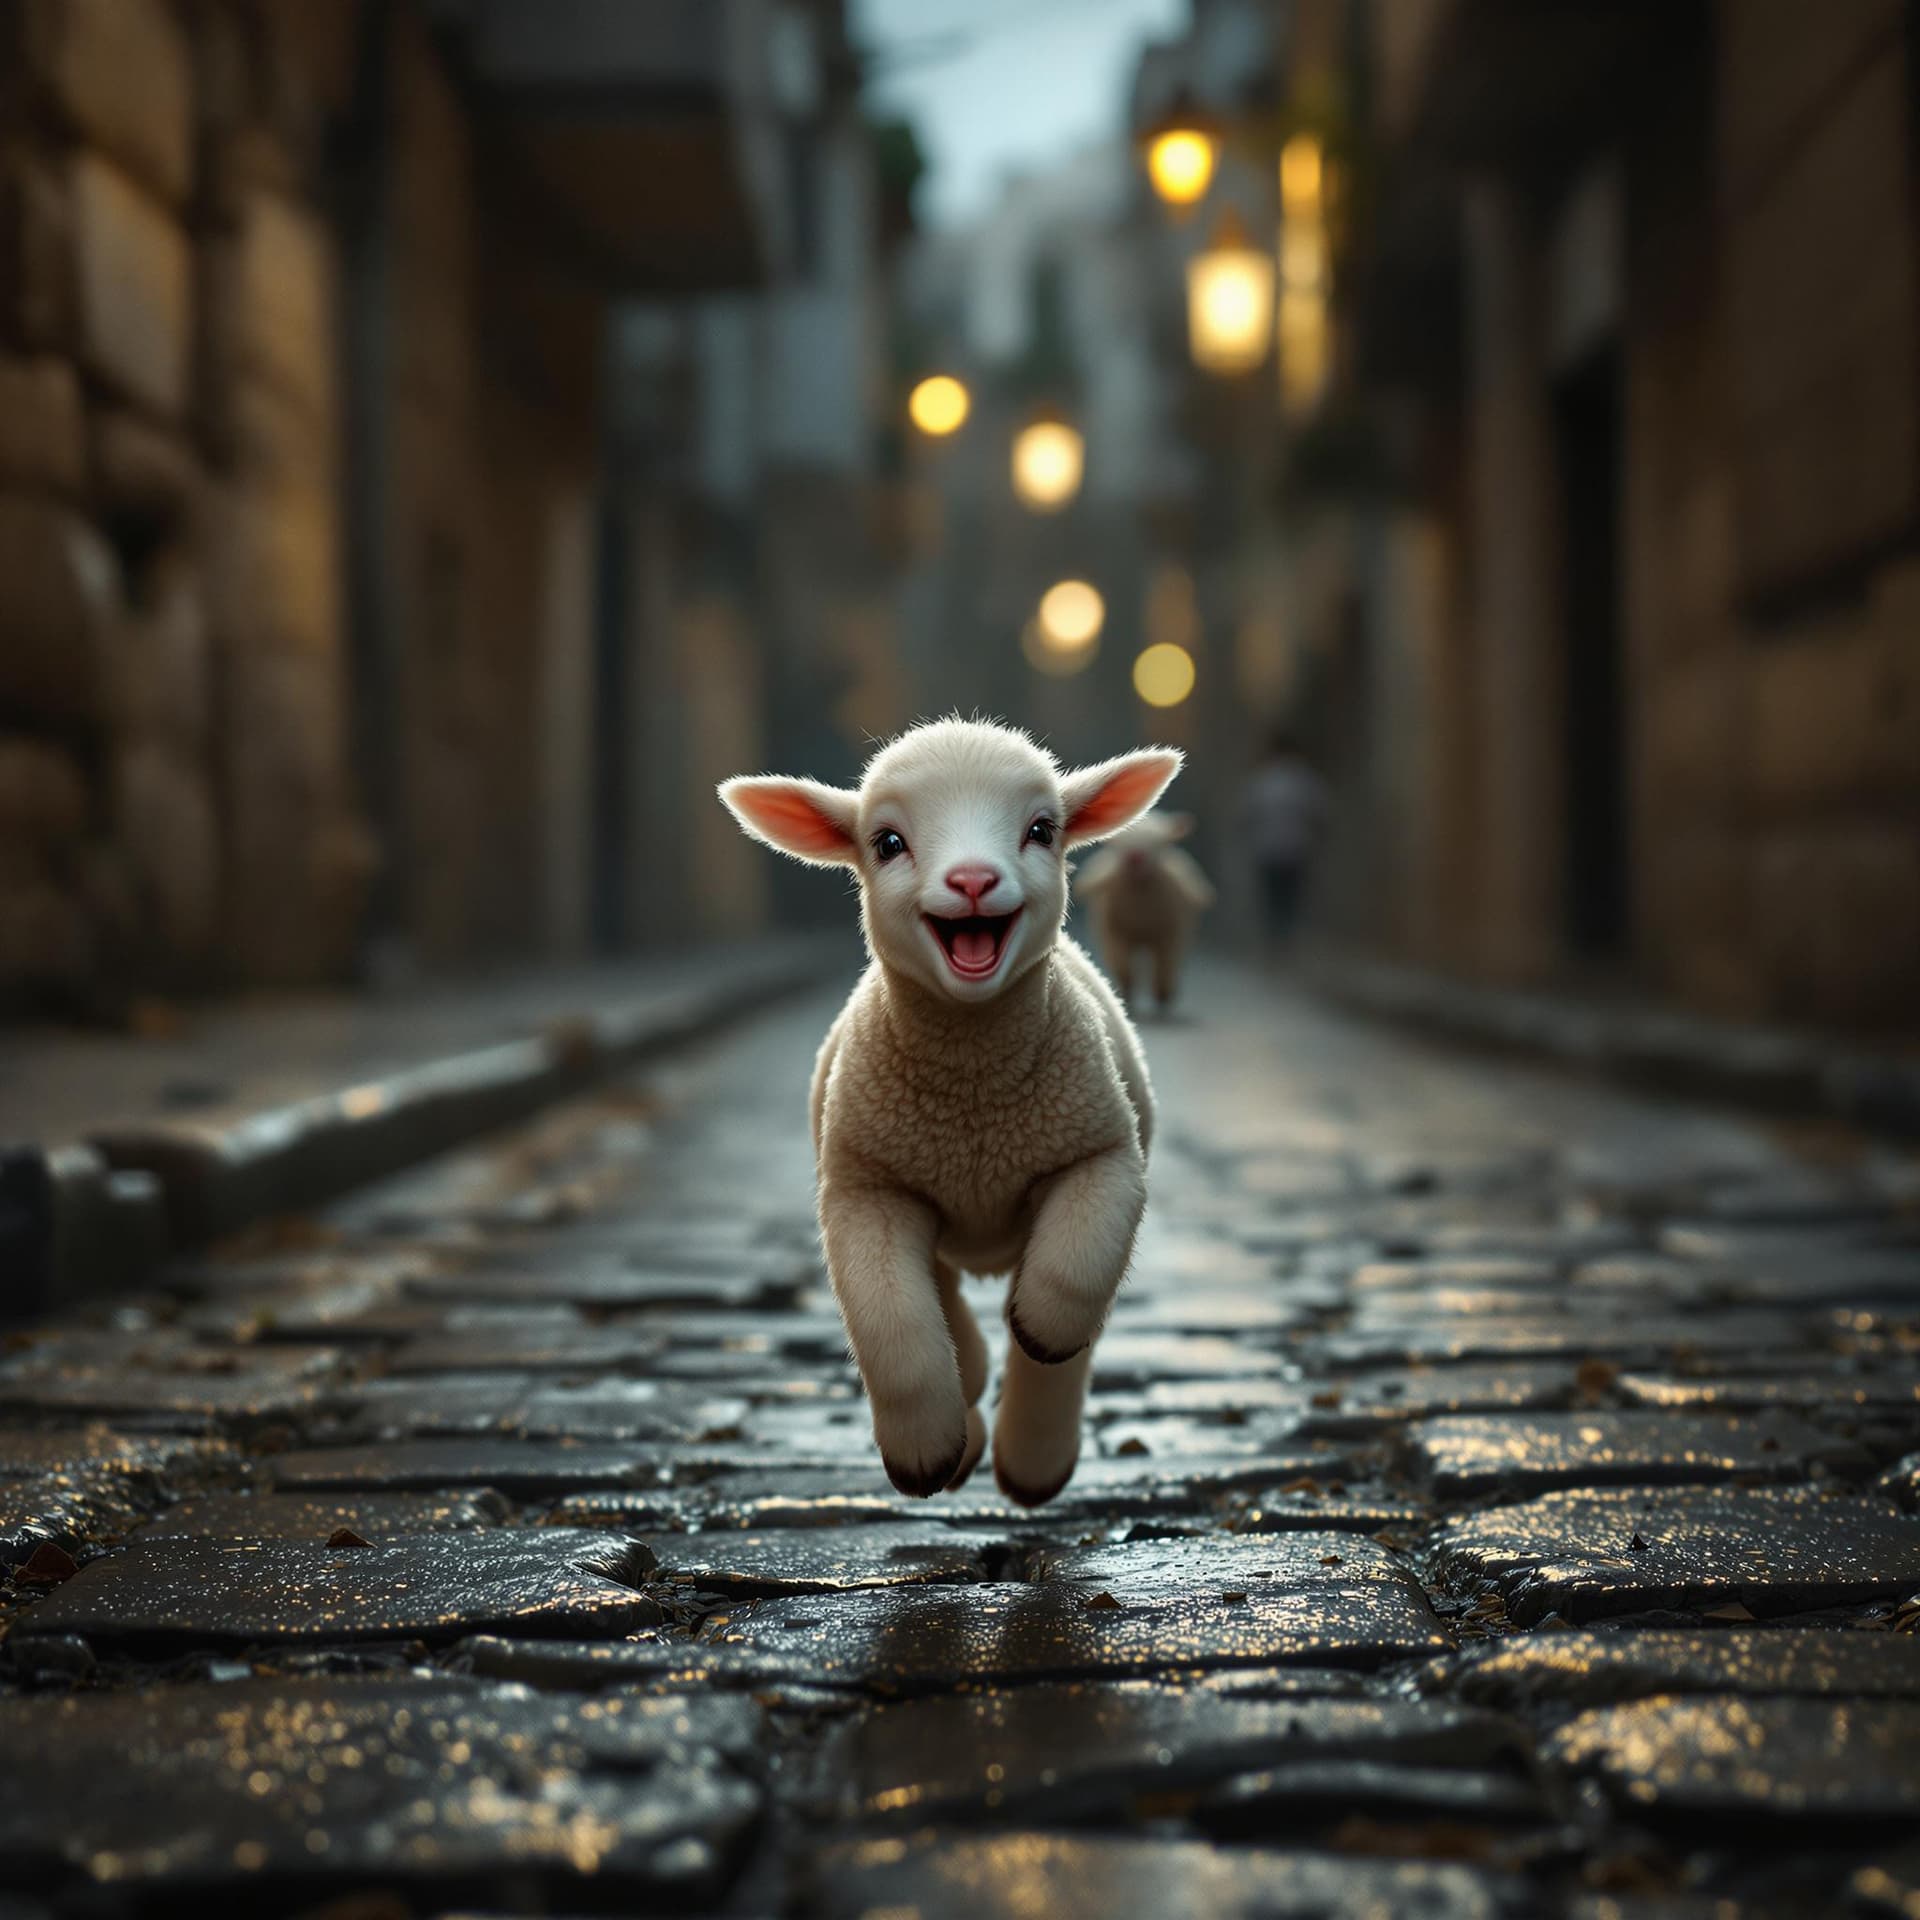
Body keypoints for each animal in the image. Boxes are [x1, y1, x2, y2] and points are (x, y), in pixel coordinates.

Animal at [719, 717, 1181, 1506]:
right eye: (887, 842)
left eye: (1041, 829)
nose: (972, 880)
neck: (973, 1105)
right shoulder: (867, 1189)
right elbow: (893, 1326)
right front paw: (926, 1454)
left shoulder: (1101, 1153)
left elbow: (1069, 1288)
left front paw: (1041, 1327)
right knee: (939, 1298)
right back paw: (970, 1397)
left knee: (1061, 1345)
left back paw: (1032, 1463)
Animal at [1073, 811, 1215, 1010]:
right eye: (1117, 843)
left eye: (1162, 843)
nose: (1135, 857)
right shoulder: (1115, 933)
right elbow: (1123, 966)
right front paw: (1125, 993)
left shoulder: (1170, 934)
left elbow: (1165, 965)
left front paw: (1162, 993)